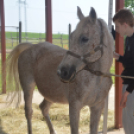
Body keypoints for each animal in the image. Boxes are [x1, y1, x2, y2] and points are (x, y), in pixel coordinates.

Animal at [6, 6, 113, 134]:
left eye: (84, 38)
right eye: (71, 36)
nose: (62, 72)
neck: (96, 80)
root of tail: (30, 46)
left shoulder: (97, 107)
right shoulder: (74, 107)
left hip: (51, 93)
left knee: (43, 108)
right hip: (28, 86)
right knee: (29, 112)